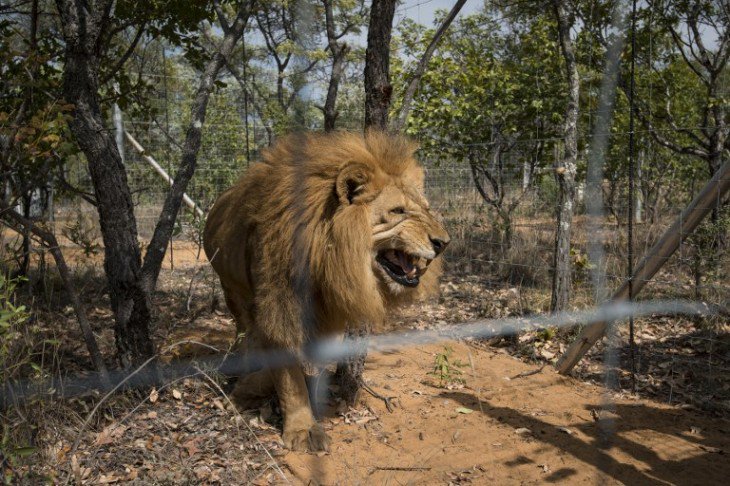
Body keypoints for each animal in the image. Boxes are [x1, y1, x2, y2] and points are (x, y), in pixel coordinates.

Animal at [203, 131, 449, 452]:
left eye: (426, 208)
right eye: (398, 211)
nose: (443, 242)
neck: (327, 258)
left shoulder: (331, 313)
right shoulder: (280, 307)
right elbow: (289, 378)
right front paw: (301, 427)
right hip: (231, 288)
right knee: (244, 332)